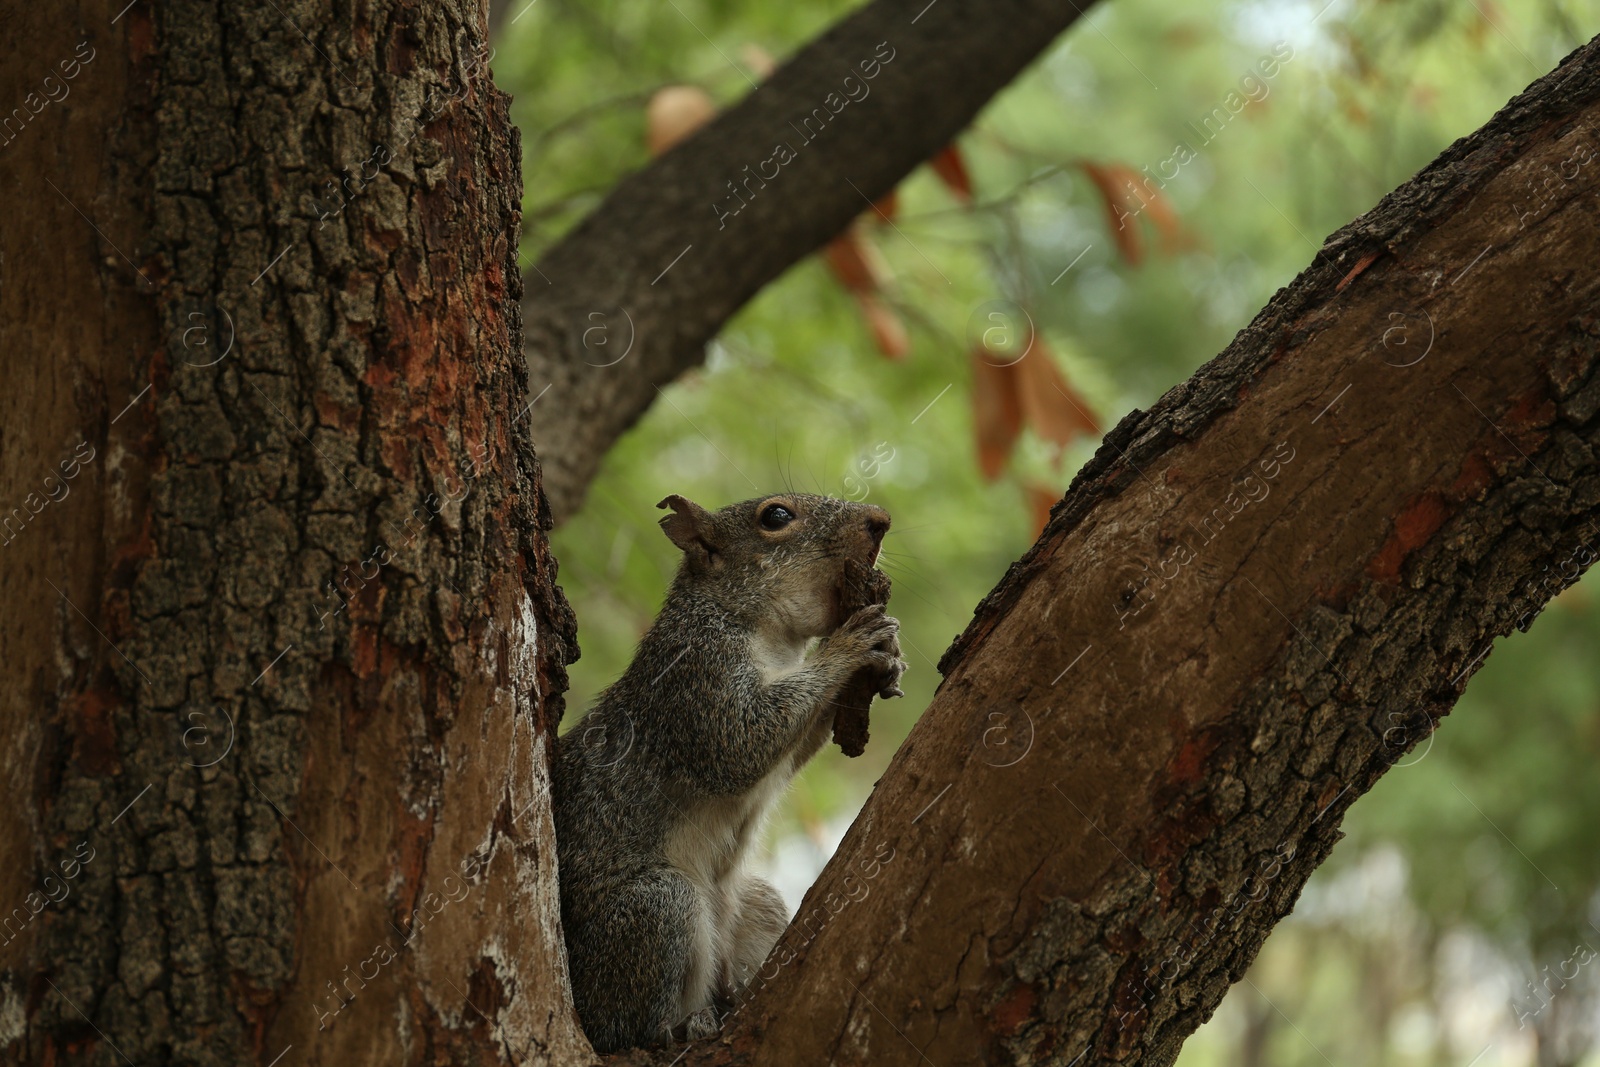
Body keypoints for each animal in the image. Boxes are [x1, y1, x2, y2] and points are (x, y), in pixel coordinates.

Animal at [550, 492, 902, 1049]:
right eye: (776, 516)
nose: (881, 521)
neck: (773, 640)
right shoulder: (695, 673)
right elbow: (739, 744)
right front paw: (848, 645)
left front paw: (890, 654)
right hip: (656, 910)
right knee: (626, 1025)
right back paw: (679, 1027)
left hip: (755, 905)